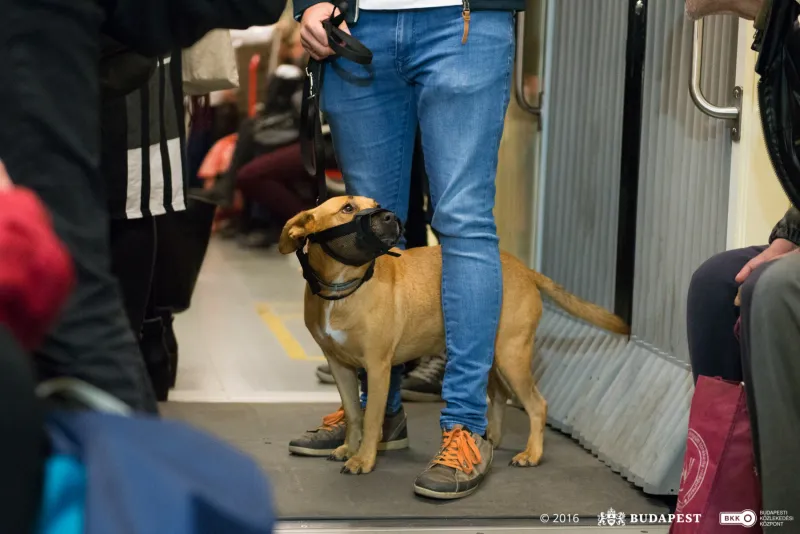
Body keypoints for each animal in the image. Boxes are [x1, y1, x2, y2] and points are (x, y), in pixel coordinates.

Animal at [278, 196, 628, 478]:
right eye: (347, 208)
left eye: (374, 203)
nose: (390, 216)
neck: (345, 288)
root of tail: (524, 269)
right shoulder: (340, 365)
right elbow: (353, 413)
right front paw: (349, 449)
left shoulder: (378, 368)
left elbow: (371, 418)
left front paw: (363, 460)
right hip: (490, 355)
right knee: (499, 394)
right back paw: (492, 438)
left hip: (512, 355)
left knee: (537, 405)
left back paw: (531, 454)